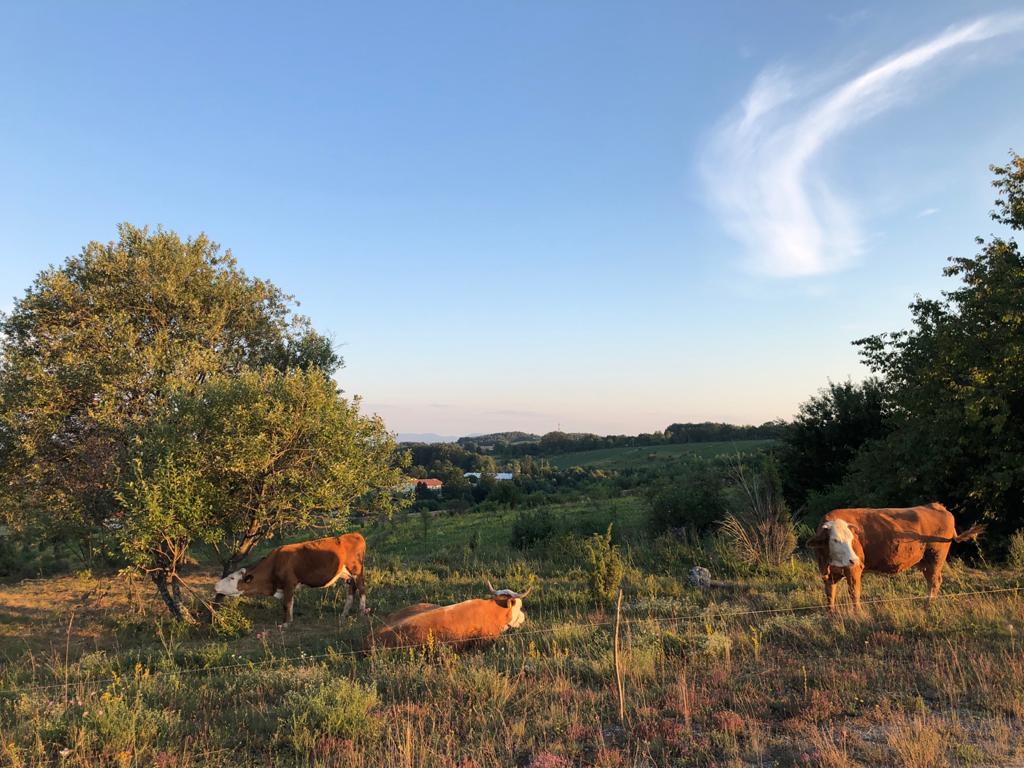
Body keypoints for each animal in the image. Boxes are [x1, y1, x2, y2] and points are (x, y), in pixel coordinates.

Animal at [211, 536, 368, 626]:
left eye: (232, 578)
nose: (216, 585)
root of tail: (355, 535)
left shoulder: (289, 583)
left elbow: (287, 603)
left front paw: (286, 623)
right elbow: (286, 605)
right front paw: (287, 621)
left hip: (356, 570)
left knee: (361, 588)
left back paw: (362, 612)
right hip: (346, 574)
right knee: (352, 589)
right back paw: (344, 614)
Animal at [806, 505, 983, 614]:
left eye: (852, 539)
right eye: (835, 540)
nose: (853, 559)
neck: (829, 562)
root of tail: (938, 506)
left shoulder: (854, 569)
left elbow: (854, 592)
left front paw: (857, 614)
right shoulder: (828, 573)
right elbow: (830, 593)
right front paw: (831, 614)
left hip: (935, 558)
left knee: (935, 582)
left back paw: (928, 606)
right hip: (926, 562)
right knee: (932, 581)